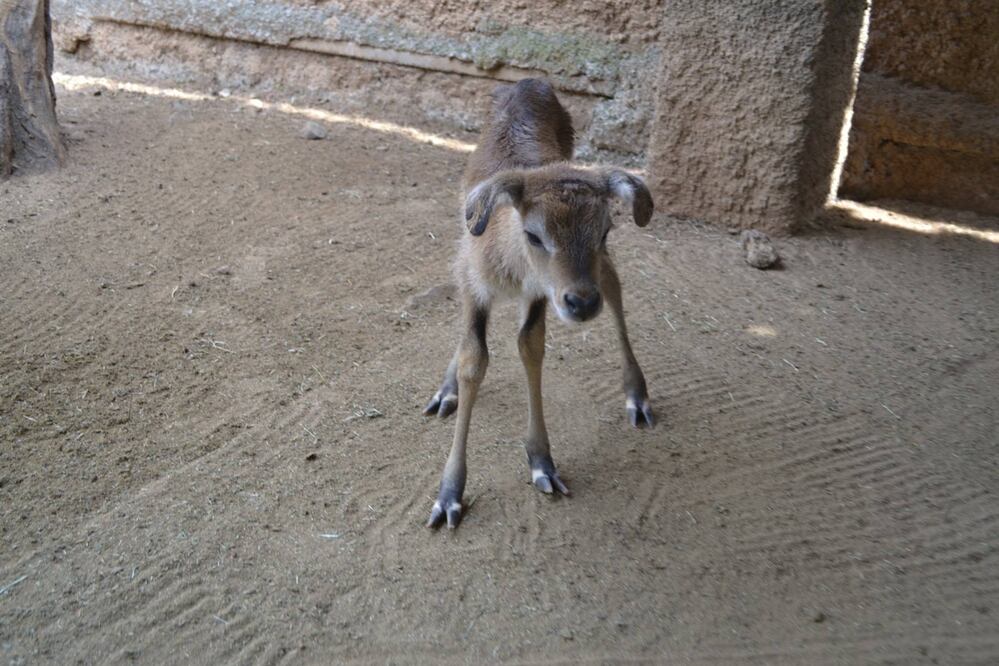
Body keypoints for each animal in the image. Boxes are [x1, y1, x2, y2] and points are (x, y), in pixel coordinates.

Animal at [423, 78, 655, 529]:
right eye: (534, 234)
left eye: (604, 229)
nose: (581, 303)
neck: (510, 270)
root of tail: (531, 82)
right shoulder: (473, 282)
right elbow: (474, 360)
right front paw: (448, 498)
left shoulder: (539, 295)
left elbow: (530, 347)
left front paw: (542, 464)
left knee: (614, 282)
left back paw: (638, 399)